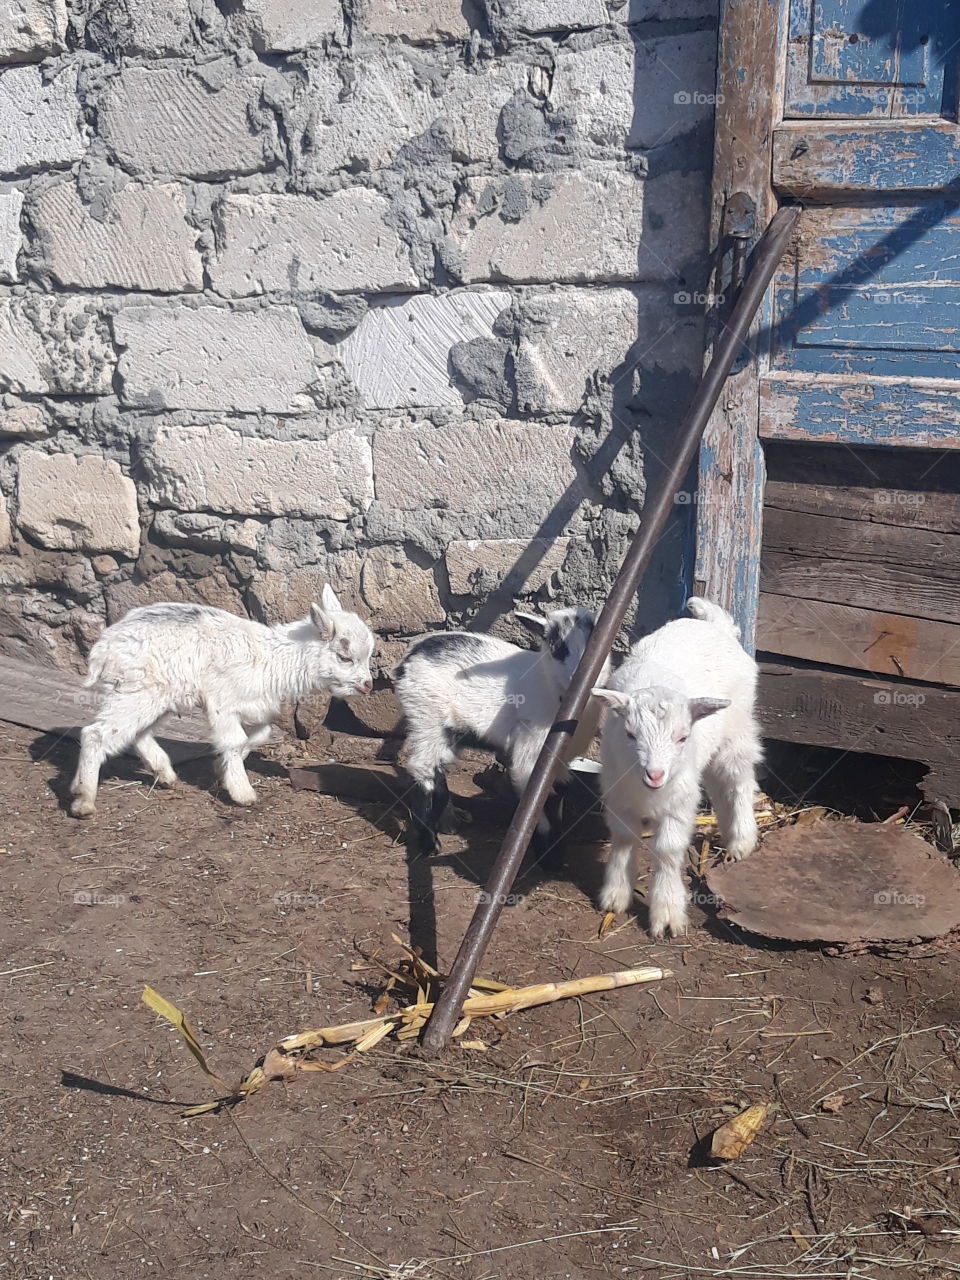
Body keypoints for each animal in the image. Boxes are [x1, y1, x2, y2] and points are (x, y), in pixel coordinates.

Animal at [69, 585, 375, 818]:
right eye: (345, 657)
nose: (368, 685)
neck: (274, 660)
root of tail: (104, 645)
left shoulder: (254, 704)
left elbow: (260, 734)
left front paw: (221, 768)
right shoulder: (223, 702)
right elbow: (235, 740)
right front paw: (242, 792)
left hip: (157, 694)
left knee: (136, 731)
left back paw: (164, 773)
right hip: (138, 690)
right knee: (96, 733)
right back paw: (83, 800)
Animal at [395, 606, 610, 863]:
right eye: (558, 648)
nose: (580, 680)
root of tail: (413, 652)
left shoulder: (562, 762)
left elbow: (558, 796)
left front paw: (556, 855)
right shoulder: (532, 749)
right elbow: (539, 797)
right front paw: (546, 856)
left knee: (438, 768)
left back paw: (449, 822)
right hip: (427, 715)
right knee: (423, 768)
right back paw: (429, 843)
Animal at [591, 597, 761, 938]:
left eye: (682, 737)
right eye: (630, 734)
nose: (655, 775)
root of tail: (715, 625)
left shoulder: (677, 802)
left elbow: (668, 849)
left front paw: (667, 914)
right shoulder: (617, 794)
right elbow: (624, 837)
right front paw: (616, 895)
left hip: (738, 729)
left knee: (738, 780)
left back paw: (741, 840)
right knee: (717, 783)